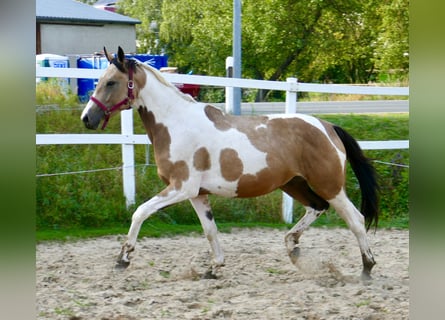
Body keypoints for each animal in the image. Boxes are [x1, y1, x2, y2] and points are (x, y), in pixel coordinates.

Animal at [80, 47, 378, 280]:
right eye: (98, 81)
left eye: (111, 82)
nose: (87, 118)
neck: (176, 123)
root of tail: (328, 127)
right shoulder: (197, 195)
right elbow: (210, 231)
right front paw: (213, 269)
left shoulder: (181, 188)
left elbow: (140, 212)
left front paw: (123, 259)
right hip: (294, 184)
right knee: (318, 207)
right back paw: (292, 246)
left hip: (329, 185)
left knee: (355, 219)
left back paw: (367, 268)